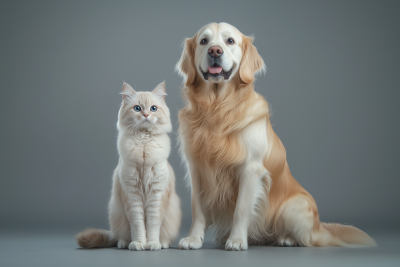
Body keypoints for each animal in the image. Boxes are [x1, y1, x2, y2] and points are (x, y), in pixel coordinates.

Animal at [76, 81, 181, 251]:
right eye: (137, 108)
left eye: (153, 108)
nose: (146, 115)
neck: (144, 143)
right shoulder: (132, 194)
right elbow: (138, 224)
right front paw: (138, 244)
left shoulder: (156, 194)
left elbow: (152, 224)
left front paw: (152, 244)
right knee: (121, 236)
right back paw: (124, 243)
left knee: (165, 236)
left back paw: (162, 243)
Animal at [175, 23, 376, 251]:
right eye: (204, 41)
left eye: (230, 41)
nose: (215, 51)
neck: (217, 108)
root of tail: (319, 224)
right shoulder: (197, 169)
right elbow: (197, 208)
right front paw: (193, 239)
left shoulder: (250, 168)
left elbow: (241, 209)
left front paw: (236, 240)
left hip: (293, 208)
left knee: (311, 239)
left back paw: (287, 239)